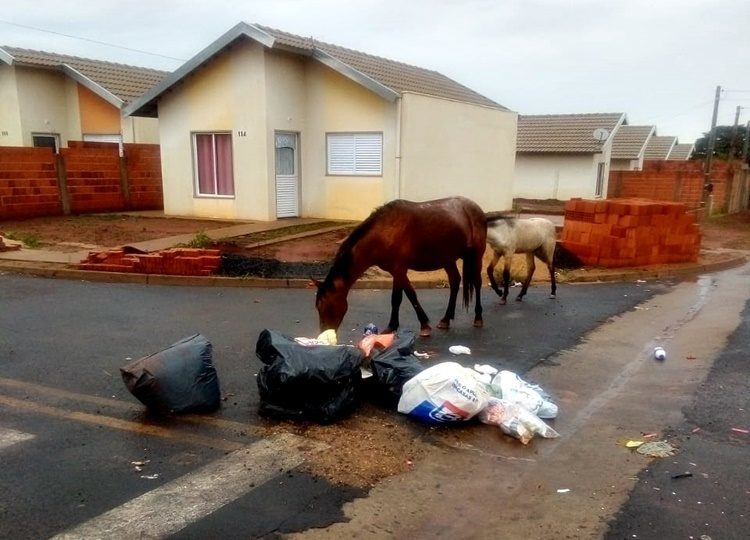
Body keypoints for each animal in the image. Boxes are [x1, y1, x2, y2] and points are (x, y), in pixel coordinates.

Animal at [316, 196, 488, 336]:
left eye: (325, 306)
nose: (324, 332)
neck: (384, 233)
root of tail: (476, 209)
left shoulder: (399, 269)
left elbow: (401, 297)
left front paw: (411, 326)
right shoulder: (396, 271)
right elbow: (405, 295)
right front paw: (407, 325)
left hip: (476, 256)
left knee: (477, 283)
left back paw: (478, 317)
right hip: (448, 259)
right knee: (455, 281)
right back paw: (446, 319)